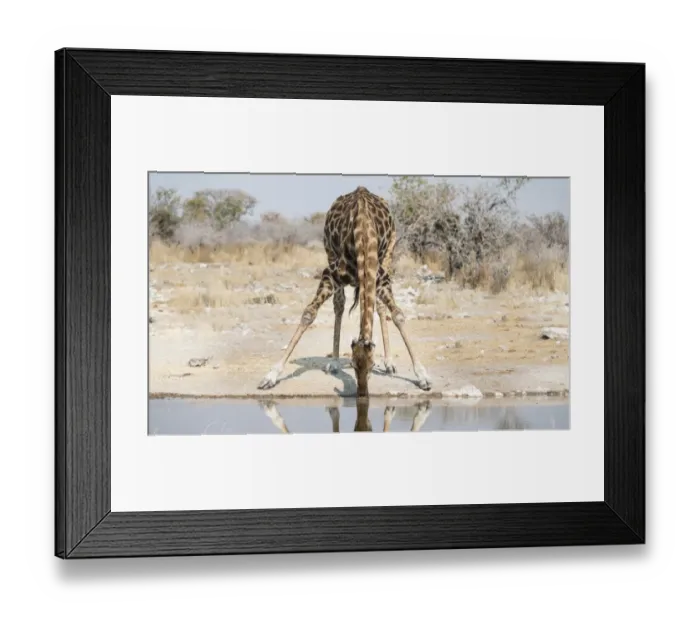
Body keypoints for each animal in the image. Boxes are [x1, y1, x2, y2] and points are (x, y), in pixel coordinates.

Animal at [257, 186, 431, 397]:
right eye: (354, 366)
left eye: (371, 366)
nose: (362, 393)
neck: (364, 236)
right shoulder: (330, 274)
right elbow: (309, 313)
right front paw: (271, 376)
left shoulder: (382, 279)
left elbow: (398, 315)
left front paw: (422, 376)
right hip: (329, 252)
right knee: (339, 305)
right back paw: (333, 362)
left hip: (389, 252)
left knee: (380, 307)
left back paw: (389, 363)